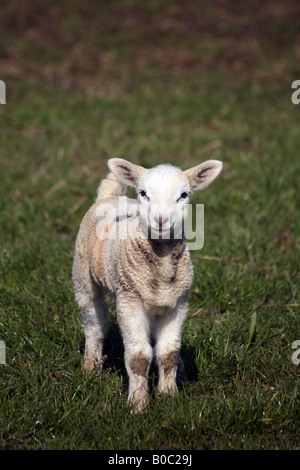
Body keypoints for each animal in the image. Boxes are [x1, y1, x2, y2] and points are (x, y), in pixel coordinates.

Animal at [72, 158, 223, 412]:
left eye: (184, 195)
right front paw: (138, 405)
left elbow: (169, 353)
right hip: (83, 276)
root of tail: (110, 196)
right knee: (95, 323)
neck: (161, 265)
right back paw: (90, 369)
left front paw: (169, 396)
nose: (160, 220)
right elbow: (139, 357)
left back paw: (181, 372)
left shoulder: (178, 303)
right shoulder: (129, 300)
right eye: (143, 193)